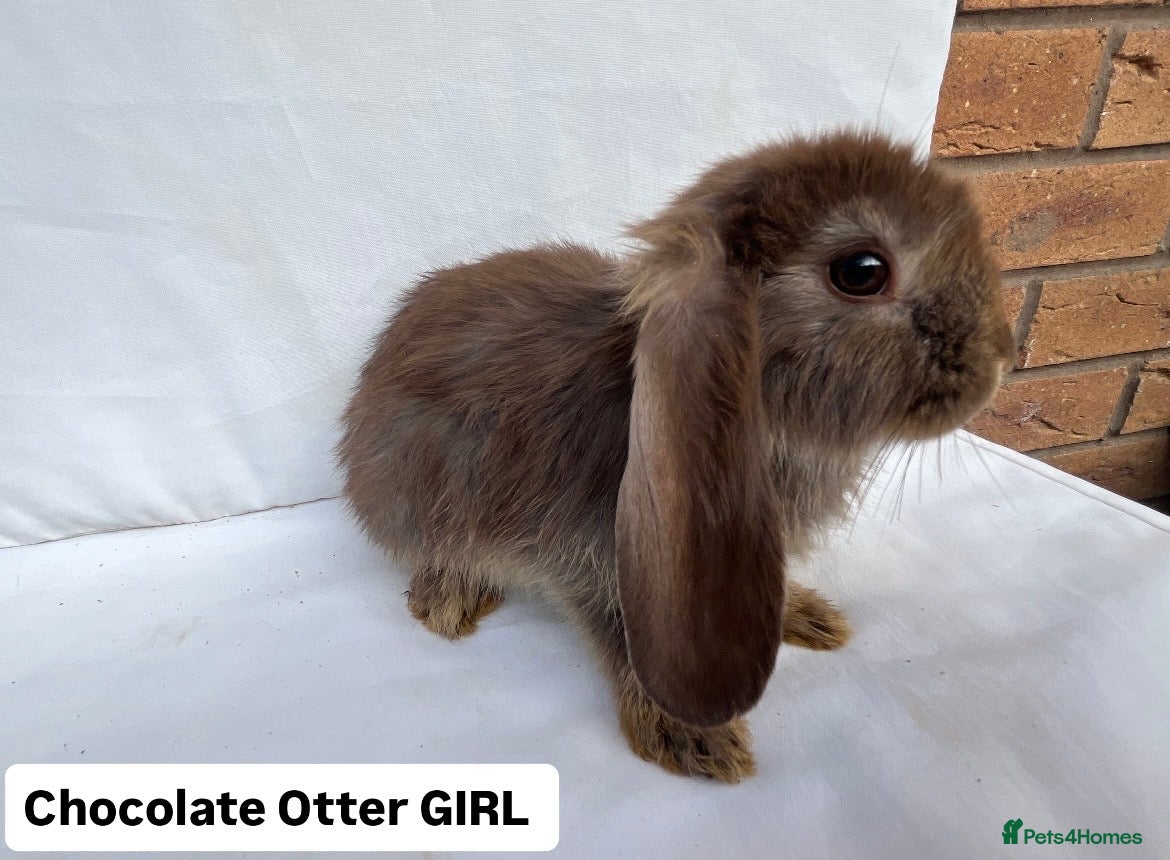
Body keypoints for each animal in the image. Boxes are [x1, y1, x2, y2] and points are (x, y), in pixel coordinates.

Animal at [338, 132, 1014, 782]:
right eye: (862, 271)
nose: (1002, 357)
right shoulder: (600, 559)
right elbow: (622, 635)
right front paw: (692, 740)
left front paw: (804, 617)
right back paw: (448, 604)